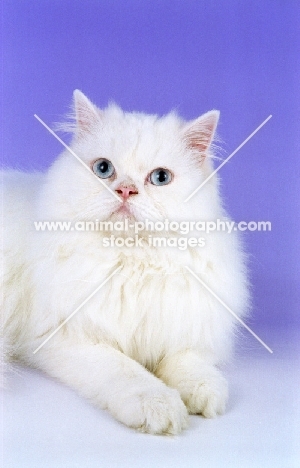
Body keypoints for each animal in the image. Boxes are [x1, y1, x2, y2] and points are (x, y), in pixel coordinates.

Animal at [0, 89, 248, 434]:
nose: (126, 190)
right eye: (104, 169)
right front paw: (160, 406)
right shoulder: (66, 338)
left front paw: (204, 392)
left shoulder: (184, 327)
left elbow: (189, 362)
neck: (134, 261)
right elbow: (127, 371)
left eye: (160, 177)